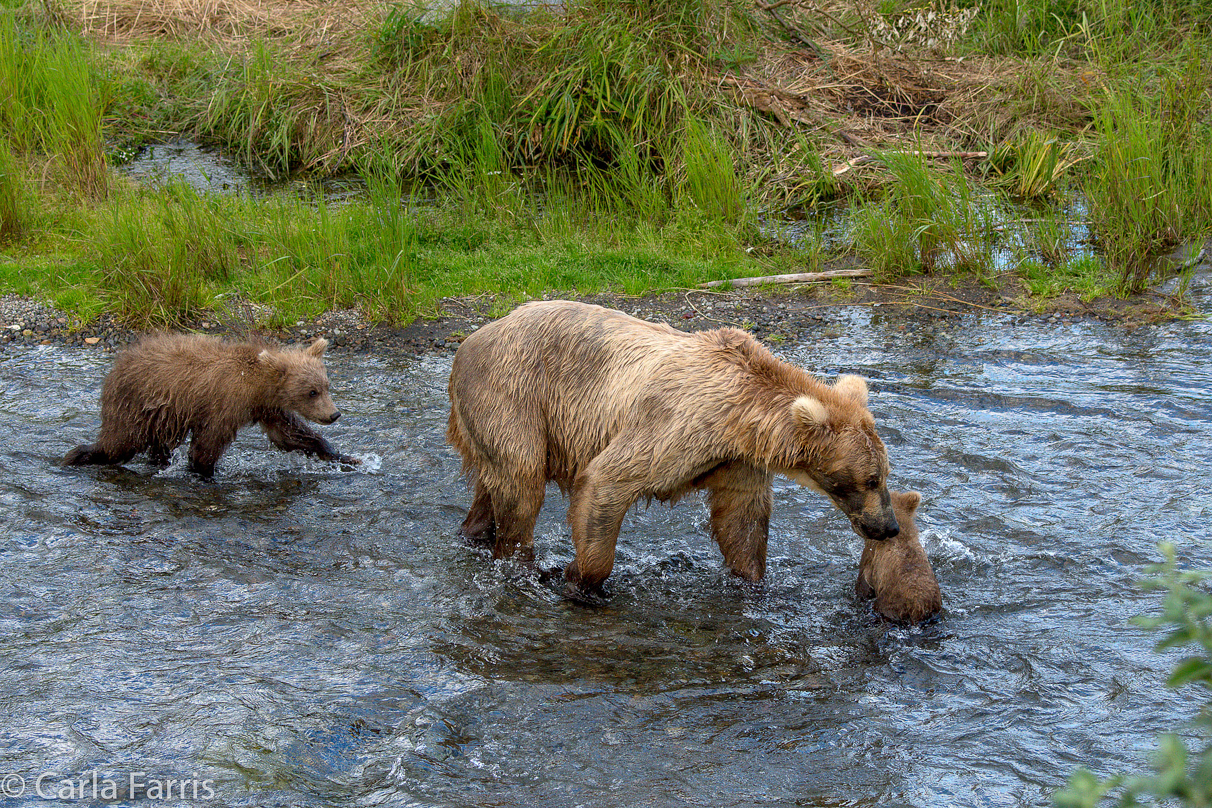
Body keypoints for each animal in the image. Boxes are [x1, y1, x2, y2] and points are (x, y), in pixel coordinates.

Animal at [64, 331, 353, 477]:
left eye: (326, 386)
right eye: (312, 392)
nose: (334, 414)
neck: (257, 386)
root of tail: (116, 366)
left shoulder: (266, 408)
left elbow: (290, 435)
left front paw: (343, 457)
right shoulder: (224, 405)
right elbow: (207, 445)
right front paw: (205, 473)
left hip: (163, 415)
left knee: (156, 445)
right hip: (136, 404)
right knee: (120, 443)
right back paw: (78, 455)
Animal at [446, 301, 901, 593]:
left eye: (884, 475)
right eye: (871, 479)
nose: (889, 527)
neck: (742, 420)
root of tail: (469, 341)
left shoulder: (736, 459)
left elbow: (742, 519)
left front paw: (750, 578)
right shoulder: (675, 427)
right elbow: (608, 480)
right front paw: (580, 578)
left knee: (494, 483)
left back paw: (474, 531)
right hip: (512, 393)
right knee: (522, 484)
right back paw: (521, 564)